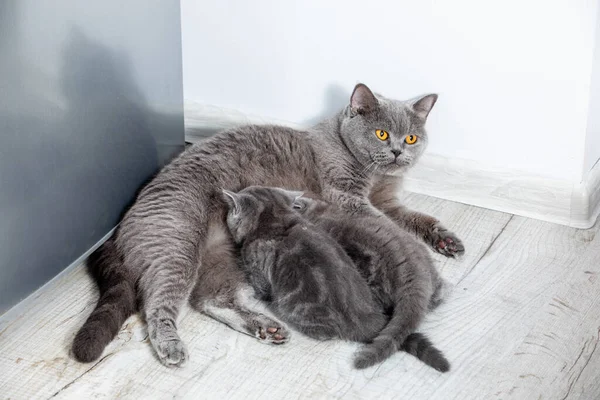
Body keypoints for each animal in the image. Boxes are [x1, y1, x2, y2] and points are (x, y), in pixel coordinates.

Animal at [71, 83, 464, 368]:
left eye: (411, 137)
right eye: (382, 134)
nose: (399, 152)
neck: (376, 177)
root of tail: (123, 221)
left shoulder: (389, 201)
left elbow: (417, 219)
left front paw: (446, 241)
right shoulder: (346, 196)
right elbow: (387, 229)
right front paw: (427, 269)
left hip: (226, 255)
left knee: (209, 300)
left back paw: (265, 327)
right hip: (177, 245)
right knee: (157, 302)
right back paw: (172, 347)